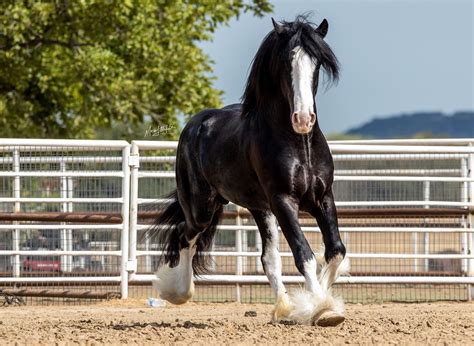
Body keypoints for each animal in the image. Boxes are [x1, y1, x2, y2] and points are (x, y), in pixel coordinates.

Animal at [148, 16, 348, 328]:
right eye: (286, 61)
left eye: (316, 62)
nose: (303, 119)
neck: (299, 144)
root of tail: (196, 124)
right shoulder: (283, 201)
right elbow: (304, 253)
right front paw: (320, 307)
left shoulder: (322, 198)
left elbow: (335, 251)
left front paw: (324, 305)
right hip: (203, 208)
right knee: (184, 235)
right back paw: (177, 292)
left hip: (259, 208)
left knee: (268, 258)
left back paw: (283, 308)